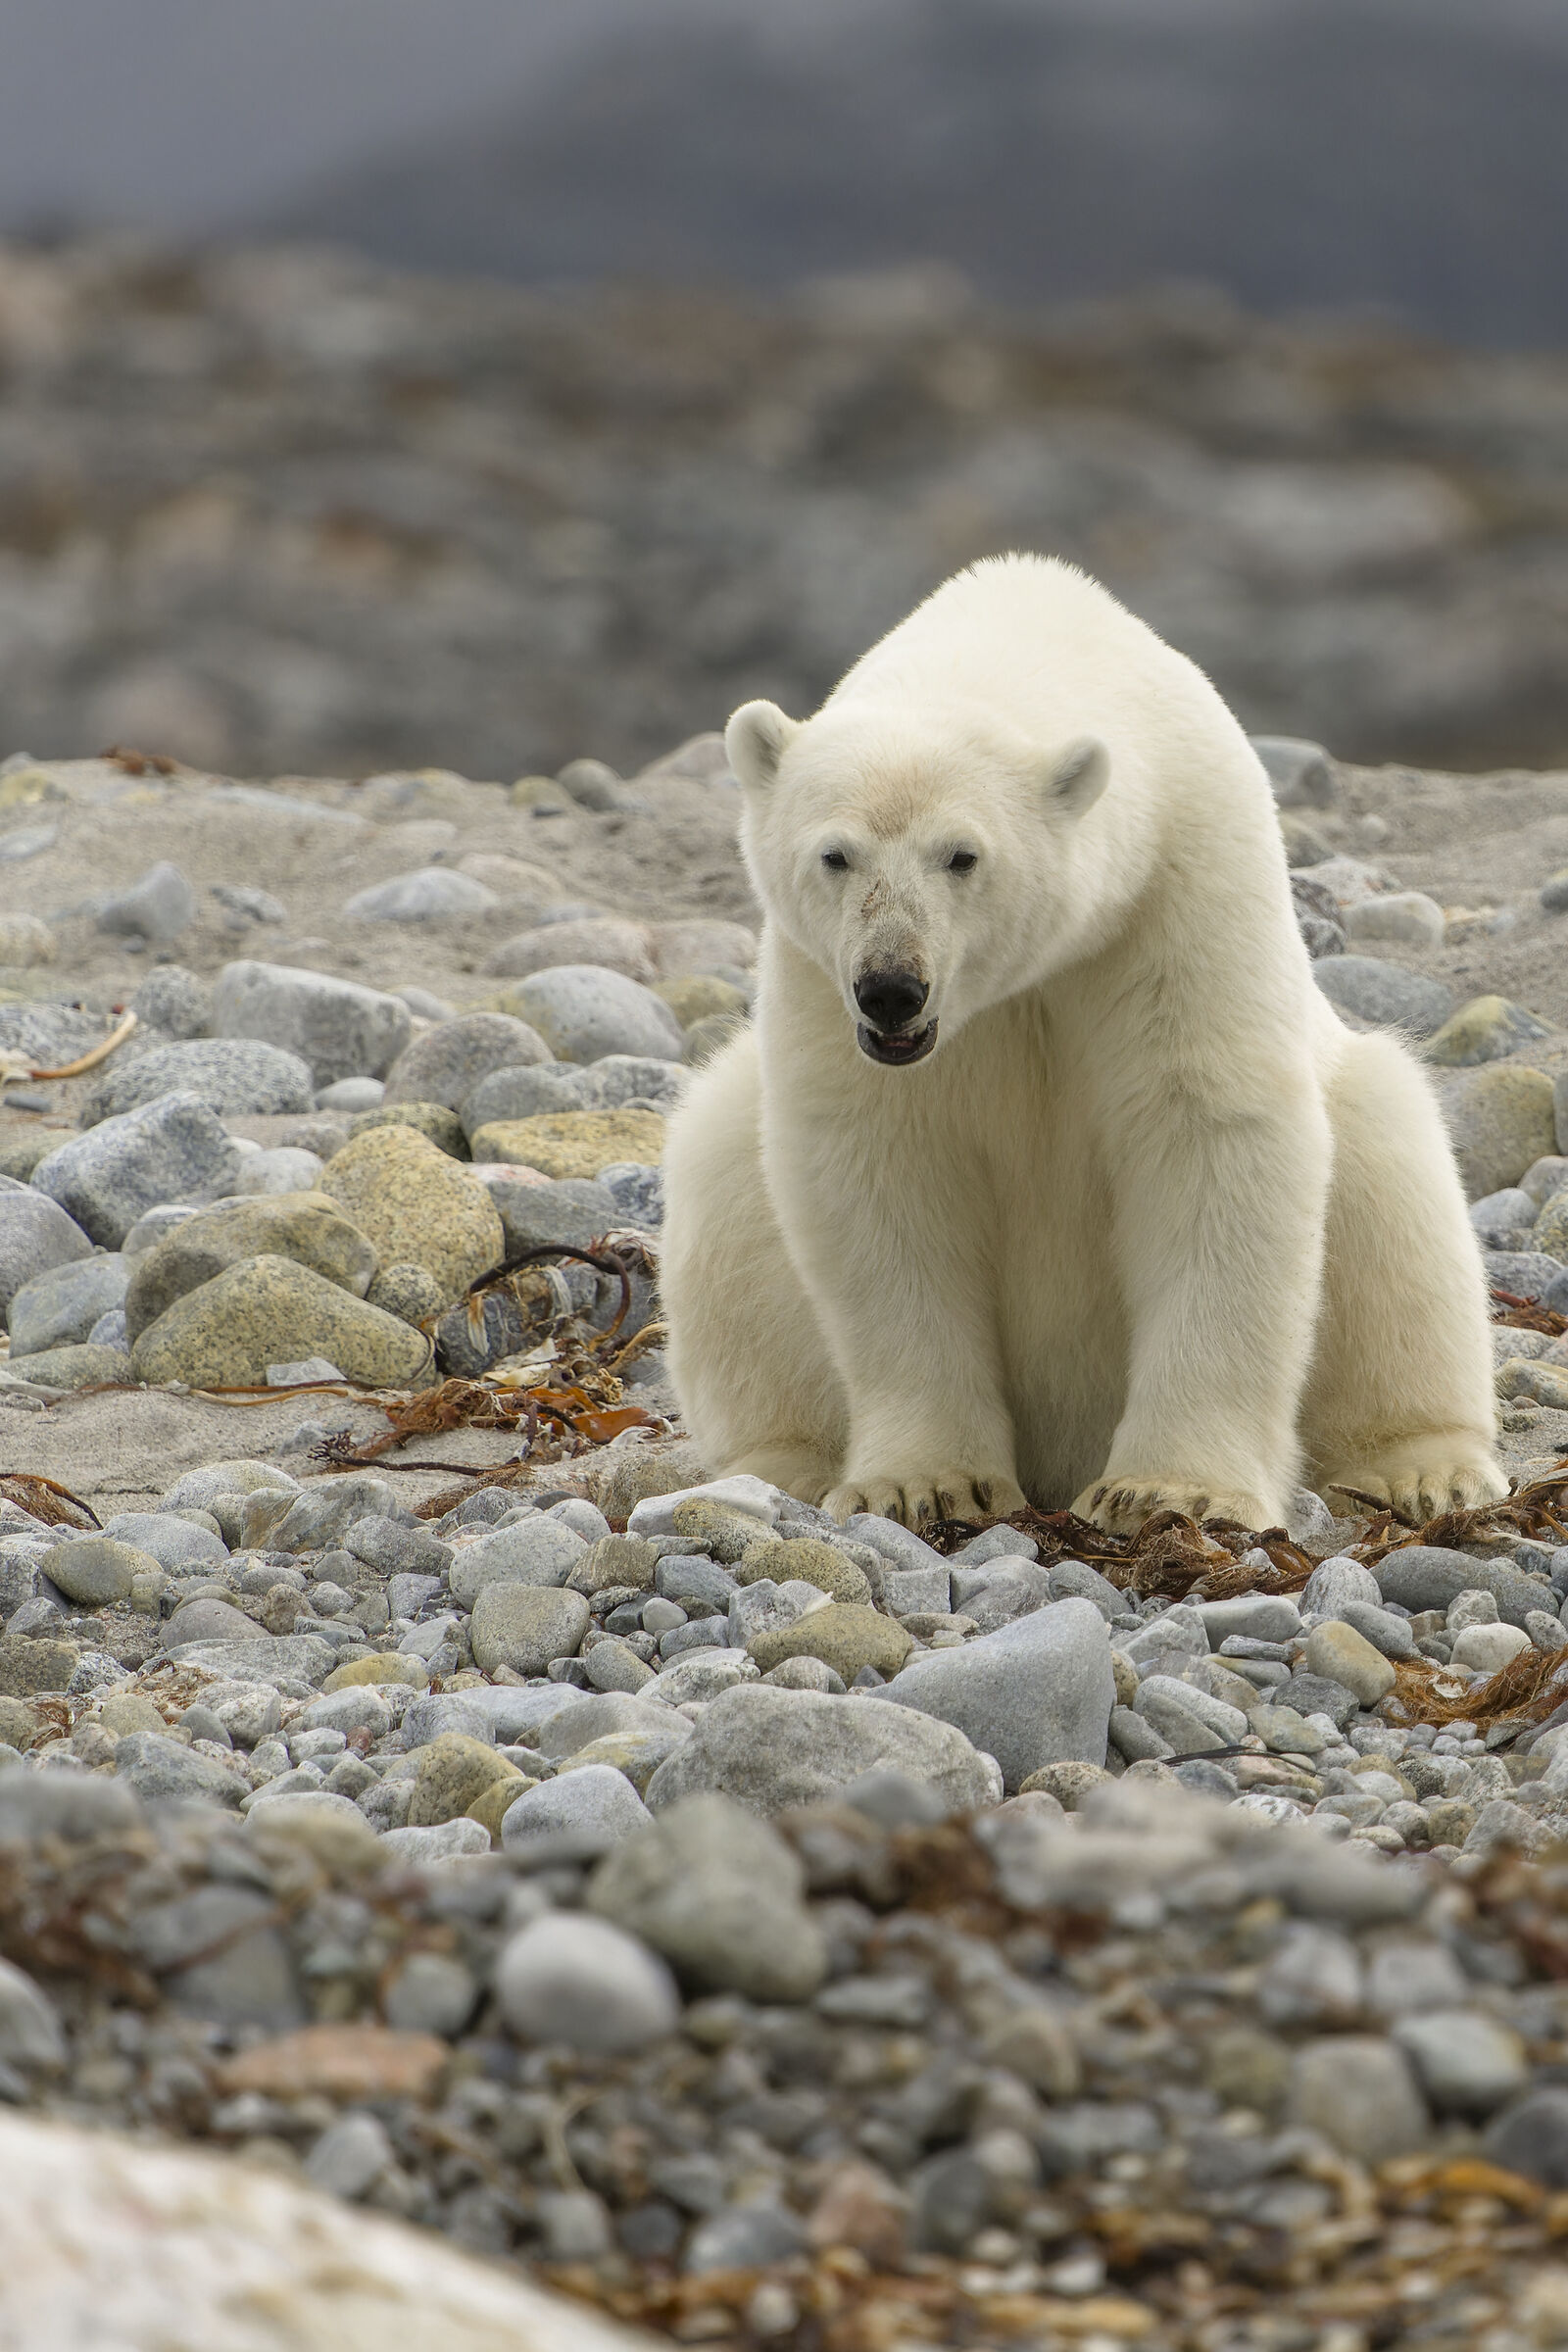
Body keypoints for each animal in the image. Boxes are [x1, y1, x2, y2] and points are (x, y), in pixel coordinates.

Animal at [660, 554, 1505, 1534]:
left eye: (962, 855)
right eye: (835, 855)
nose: (892, 988)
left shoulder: (1179, 898)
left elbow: (1210, 1138)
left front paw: (1173, 1491)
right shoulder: (818, 984)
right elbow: (880, 1173)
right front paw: (923, 1481)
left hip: (1368, 1127)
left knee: (1398, 1198)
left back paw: (1423, 1467)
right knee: (723, 1178)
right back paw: (774, 1468)